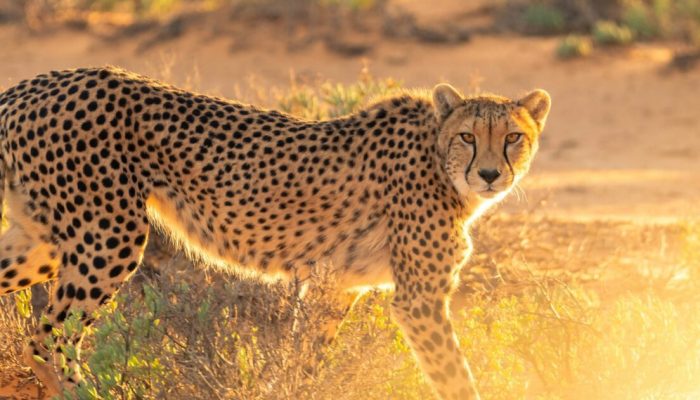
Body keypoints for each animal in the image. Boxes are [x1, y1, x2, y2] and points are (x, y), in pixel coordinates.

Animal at [0, 66, 550, 400]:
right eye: (468, 137)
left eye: (513, 137)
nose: (490, 175)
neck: (438, 158)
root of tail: (31, 84)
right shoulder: (419, 299)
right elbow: (454, 375)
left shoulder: (334, 287)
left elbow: (304, 360)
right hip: (109, 235)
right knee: (50, 335)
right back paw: (87, 390)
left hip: (46, 241)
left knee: (34, 322)